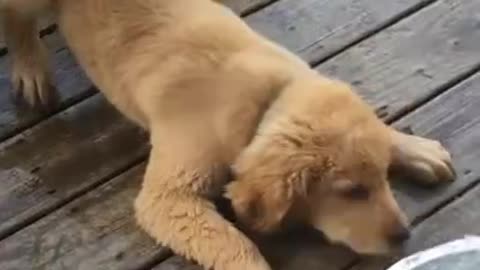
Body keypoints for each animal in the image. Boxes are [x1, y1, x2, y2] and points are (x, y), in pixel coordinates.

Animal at [2, 0, 454, 270]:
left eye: (382, 178)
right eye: (351, 192)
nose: (403, 235)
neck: (266, 100)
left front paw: (415, 149)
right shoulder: (168, 199)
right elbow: (236, 246)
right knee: (17, 19)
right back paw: (31, 69)